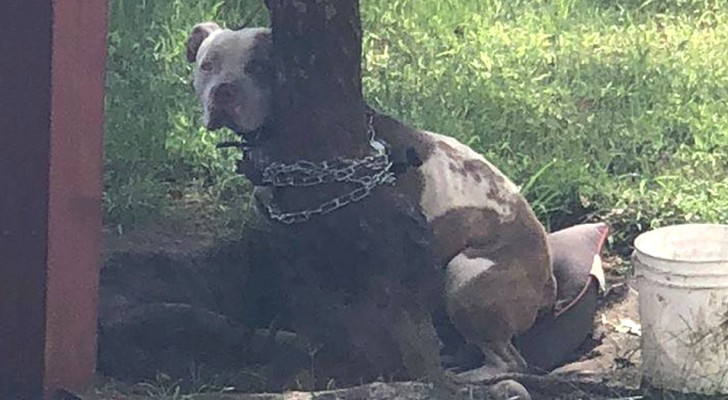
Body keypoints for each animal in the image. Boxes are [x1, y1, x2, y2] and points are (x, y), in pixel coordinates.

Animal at [186, 22, 556, 388]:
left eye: (259, 68)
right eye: (207, 66)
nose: (224, 90)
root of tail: (547, 281)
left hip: (468, 276)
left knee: (509, 361)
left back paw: (467, 375)